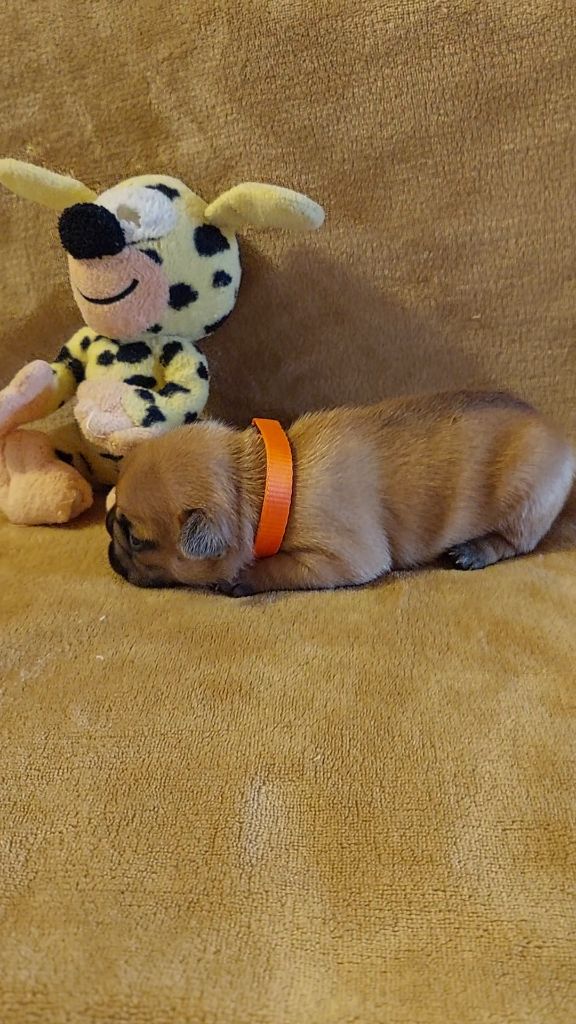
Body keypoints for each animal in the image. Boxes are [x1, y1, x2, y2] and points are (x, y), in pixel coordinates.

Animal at [106, 390, 575, 595]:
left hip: (526, 499)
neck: (272, 484)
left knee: (515, 542)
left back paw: (475, 550)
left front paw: (241, 579)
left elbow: (278, 567)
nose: (109, 539)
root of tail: (561, 438)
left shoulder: (341, 560)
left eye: (138, 540)